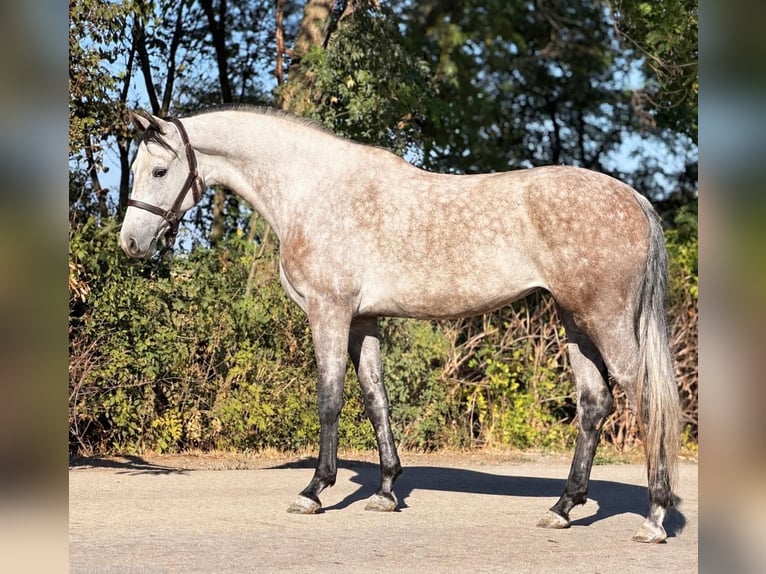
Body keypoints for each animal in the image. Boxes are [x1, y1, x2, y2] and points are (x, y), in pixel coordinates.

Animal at [120, 106, 681, 543]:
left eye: (160, 171)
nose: (130, 243)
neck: (313, 189)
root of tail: (633, 200)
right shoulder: (363, 319)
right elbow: (375, 397)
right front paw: (387, 491)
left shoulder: (329, 311)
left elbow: (330, 398)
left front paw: (313, 491)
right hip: (574, 320)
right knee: (595, 403)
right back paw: (563, 508)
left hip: (605, 320)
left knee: (644, 399)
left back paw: (654, 517)